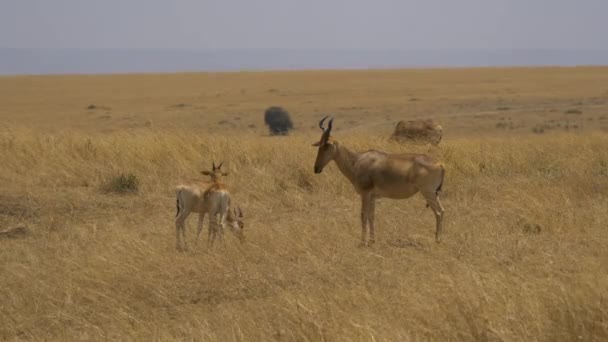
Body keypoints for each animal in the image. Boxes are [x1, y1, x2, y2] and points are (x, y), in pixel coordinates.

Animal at [314, 116, 446, 244]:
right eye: (319, 144)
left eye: (326, 145)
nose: (316, 169)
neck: (358, 160)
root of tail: (440, 164)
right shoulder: (372, 196)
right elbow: (371, 216)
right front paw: (372, 240)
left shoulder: (365, 193)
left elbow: (363, 215)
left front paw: (362, 242)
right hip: (434, 193)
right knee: (442, 210)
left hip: (428, 192)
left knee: (438, 212)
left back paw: (438, 240)